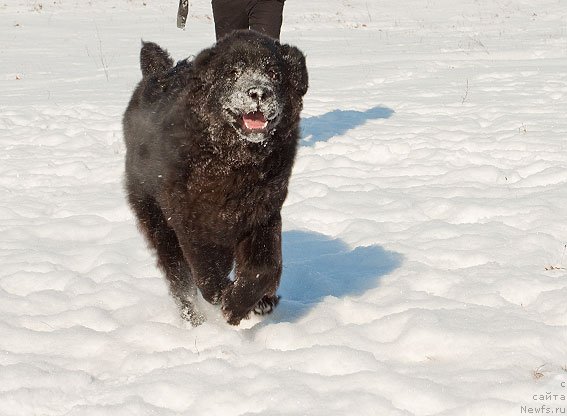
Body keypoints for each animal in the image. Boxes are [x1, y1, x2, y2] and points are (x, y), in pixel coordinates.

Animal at [123, 30, 308, 326]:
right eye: (232, 72)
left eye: (274, 73)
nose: (258, 92)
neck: (233, 164)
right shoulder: (192, 223)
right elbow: (207, 272)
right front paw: (225, 300)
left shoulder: (262, 214)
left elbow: (265, 266)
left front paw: (243, 304)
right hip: (158, 223)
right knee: (180, 279)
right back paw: (194, 320)